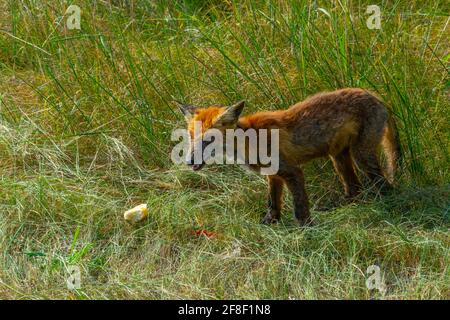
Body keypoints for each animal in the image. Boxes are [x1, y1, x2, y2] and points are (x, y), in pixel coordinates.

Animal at [174, 88, 400, 225]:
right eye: (191, 137)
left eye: (209, 140)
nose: (189, 162)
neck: (250, 140)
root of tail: (377, 96)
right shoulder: (273, 175)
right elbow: (272, 204)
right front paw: (268, 225)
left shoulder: (292, 171)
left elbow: (300, 208)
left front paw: (307, 231)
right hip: (339, 158)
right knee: (355, 188)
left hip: (361, 156)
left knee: (384, 184)